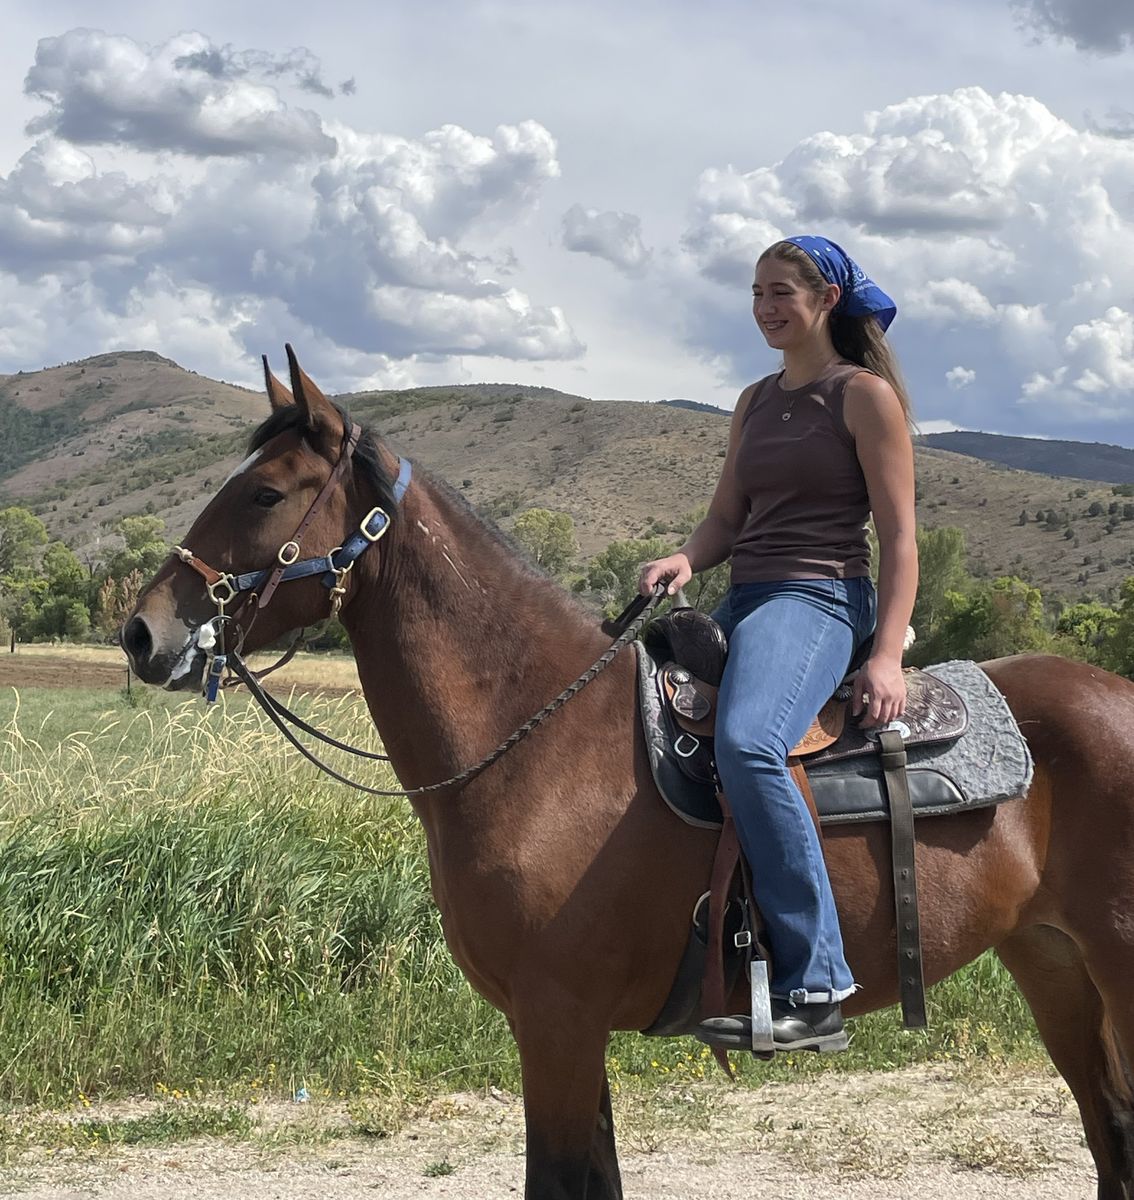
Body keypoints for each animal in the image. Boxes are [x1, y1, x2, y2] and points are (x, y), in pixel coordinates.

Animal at [121, 348, 1134, 1200]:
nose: (142, 631)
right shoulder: (564, 1033)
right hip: (1049, 960)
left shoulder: (557, 1023)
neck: (536, 737)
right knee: (1109, 1131)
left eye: (263, 494)